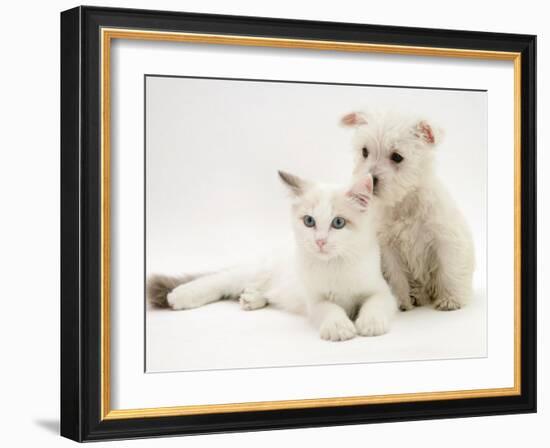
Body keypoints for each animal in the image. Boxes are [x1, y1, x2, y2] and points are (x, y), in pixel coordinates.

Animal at [153, 171, 398, 340]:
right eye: (309, 221)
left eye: (338, 222)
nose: (319, 241)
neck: (335, 265)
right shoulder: (315, 300)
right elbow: (331, 308)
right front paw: (338, 327)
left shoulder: (382, 290)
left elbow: (374, 303)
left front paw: (371, 323)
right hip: (256, 271)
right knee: (220, 279)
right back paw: (180, 295)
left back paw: (252, 298)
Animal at [342, 110, 476, 312]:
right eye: (365, 152)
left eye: (397, 157)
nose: (369, 180)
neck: (403, 200)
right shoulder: (388, 248)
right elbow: (396, 275)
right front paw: (400, 301)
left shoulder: (445, 239)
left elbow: (449, 269)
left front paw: (450, 299)